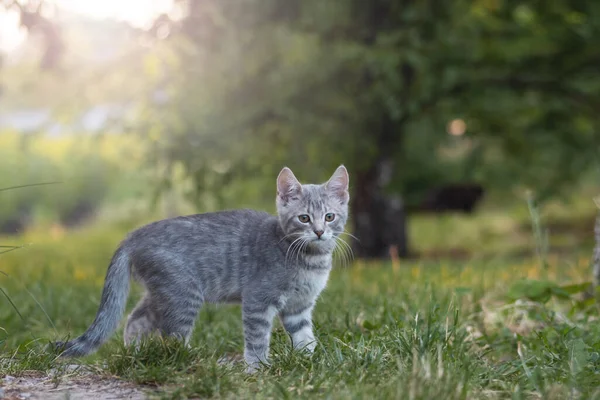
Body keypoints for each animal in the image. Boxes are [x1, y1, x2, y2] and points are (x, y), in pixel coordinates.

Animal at [57, 164, 346, 370]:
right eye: (304, 218)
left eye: (329, 216)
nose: (319, 232)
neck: (311, 261)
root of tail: (133, 235)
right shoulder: (258, 300)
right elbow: (257, 338)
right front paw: (258, 369)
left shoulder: (300, 306)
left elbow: (305, 336)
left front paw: (310, 361)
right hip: (183, 294)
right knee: (171, 337)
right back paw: (189, 361)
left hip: (162, 291)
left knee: (135, 319)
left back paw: (135, 354)